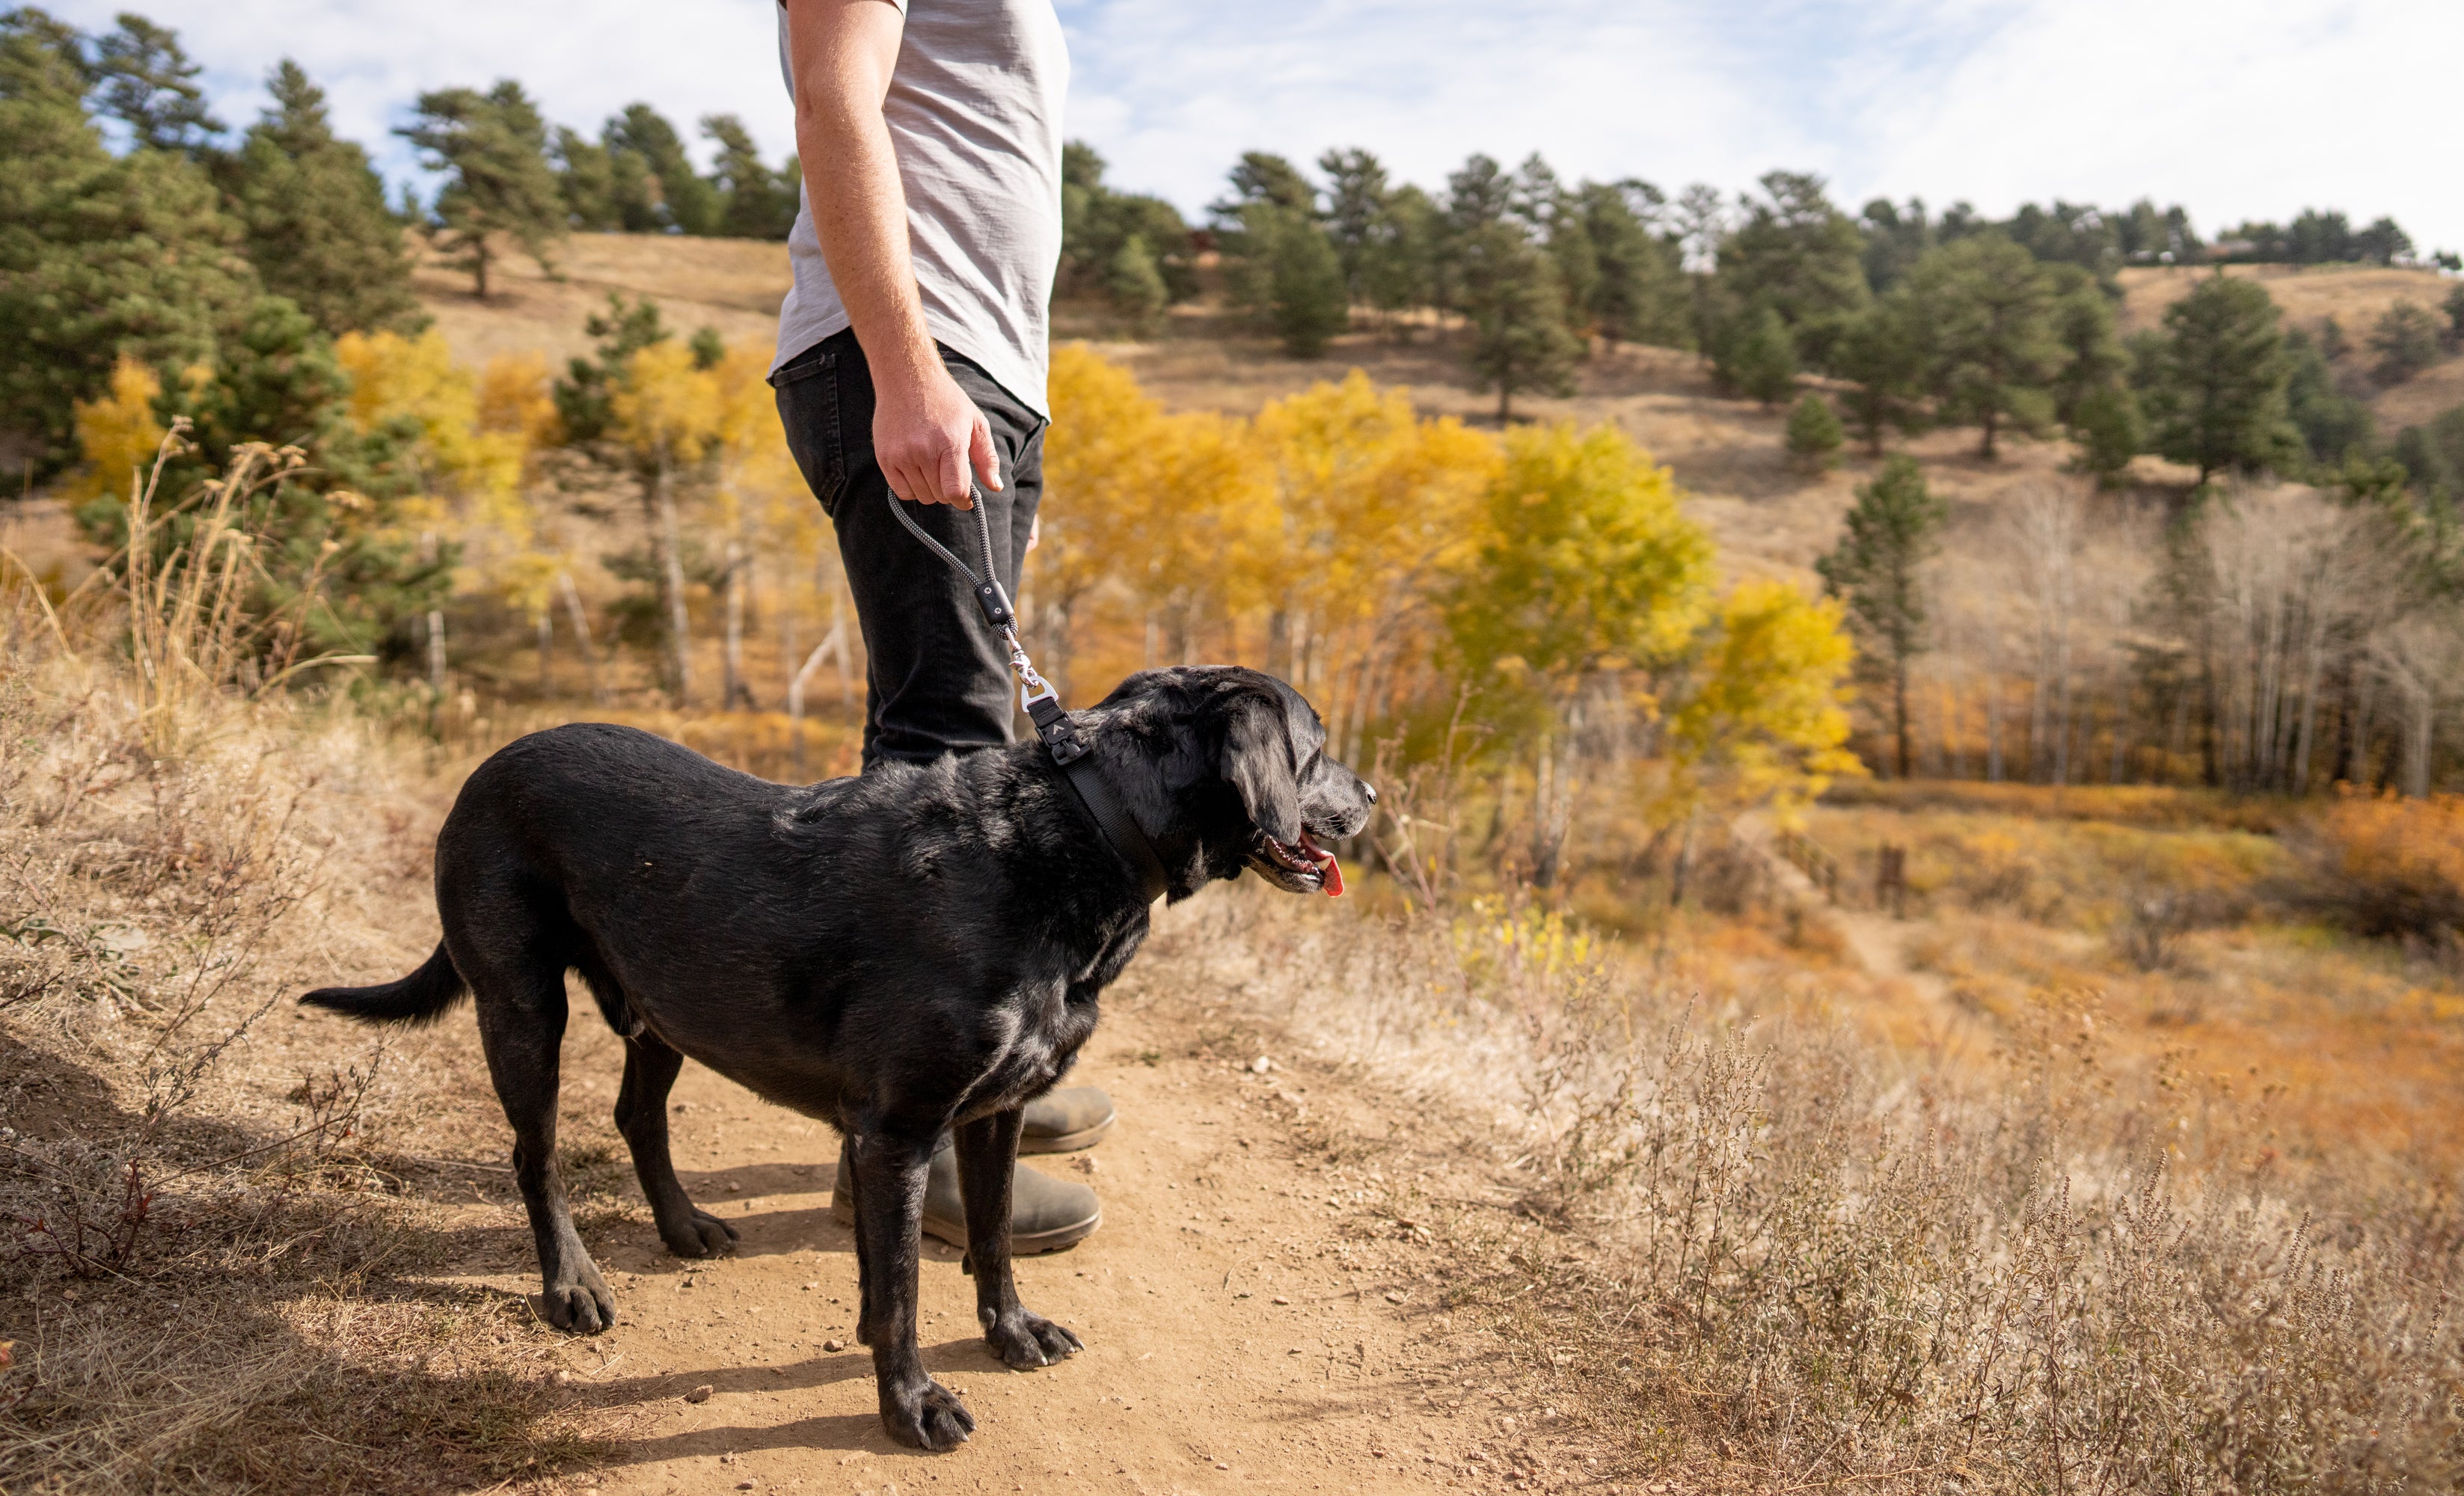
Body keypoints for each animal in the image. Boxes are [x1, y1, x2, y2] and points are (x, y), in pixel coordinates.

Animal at [295, 665, 1370, 1449]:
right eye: (1315, 749)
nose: (1370, 795)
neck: (1080, 829)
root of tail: (490, 764)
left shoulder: (994, 1115)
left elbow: (988, 1241)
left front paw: (1011, 1332)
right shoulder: (897, 1132)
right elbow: (897, 1290)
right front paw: (911, 1405)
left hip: (664, 1007)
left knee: (636, 1116)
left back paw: (684, 1228)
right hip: (524, 1008)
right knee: (538, 1155)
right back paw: (573, 1286)